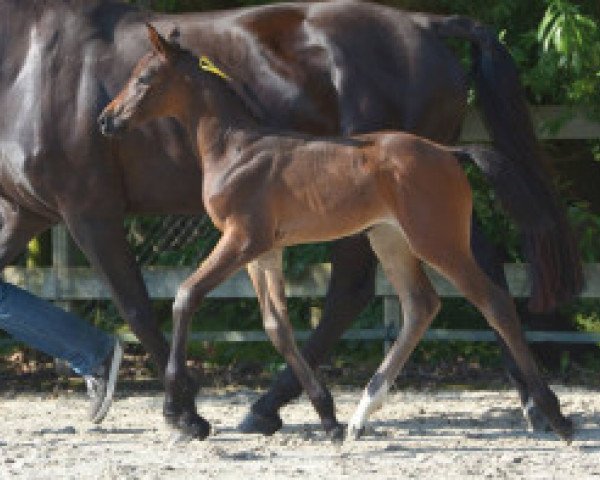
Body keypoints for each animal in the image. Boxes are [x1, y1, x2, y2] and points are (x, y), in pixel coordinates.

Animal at [0, 0, 580, 436]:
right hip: (402, 234)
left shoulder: (105, 214)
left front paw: (183, 412)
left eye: (144, 78)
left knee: (466, 297)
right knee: (426, 300)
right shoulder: (261, 247)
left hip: (419, 235)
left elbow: (165, 301)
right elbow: (275, 325)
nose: (105, 120)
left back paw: (548, 412)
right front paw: (320, 411)